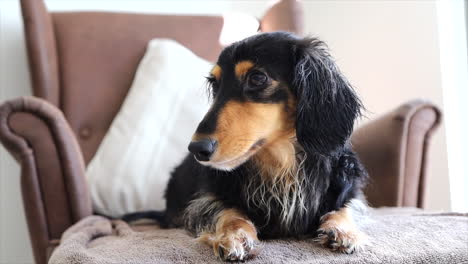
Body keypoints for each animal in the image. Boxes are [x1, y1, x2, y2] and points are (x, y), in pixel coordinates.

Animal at [123, 32, 370, 260]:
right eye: (215, 83)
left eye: (257, 77)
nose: (196, 149)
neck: (282, 164)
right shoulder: (206, 198)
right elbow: (228, 211)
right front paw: (235, 236)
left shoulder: (347, 188)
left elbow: (346, 206)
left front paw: (343, 230)